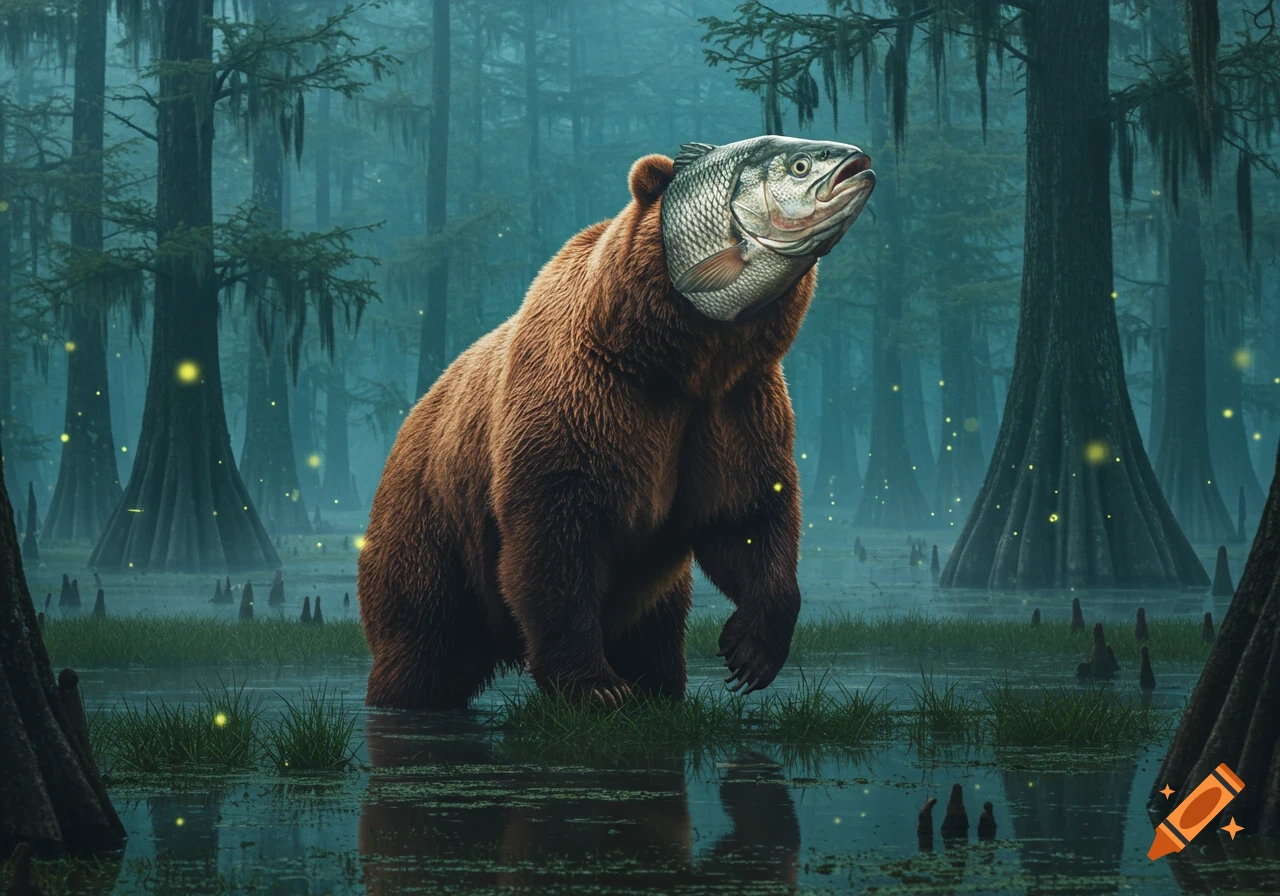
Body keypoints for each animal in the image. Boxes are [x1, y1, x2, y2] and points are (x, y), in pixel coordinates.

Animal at [358, 146, 864, 710]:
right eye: (799, 167)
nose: (854, 162)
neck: (677, 366)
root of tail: (409, 421)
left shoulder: (732, 408)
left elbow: (746, 514)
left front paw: (749, 653)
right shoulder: (588, 403)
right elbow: (556, 541)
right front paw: (596, 686)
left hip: (652, 596)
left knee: (656, 638)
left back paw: (655, 687)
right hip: (433, 526)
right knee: (425, 640)